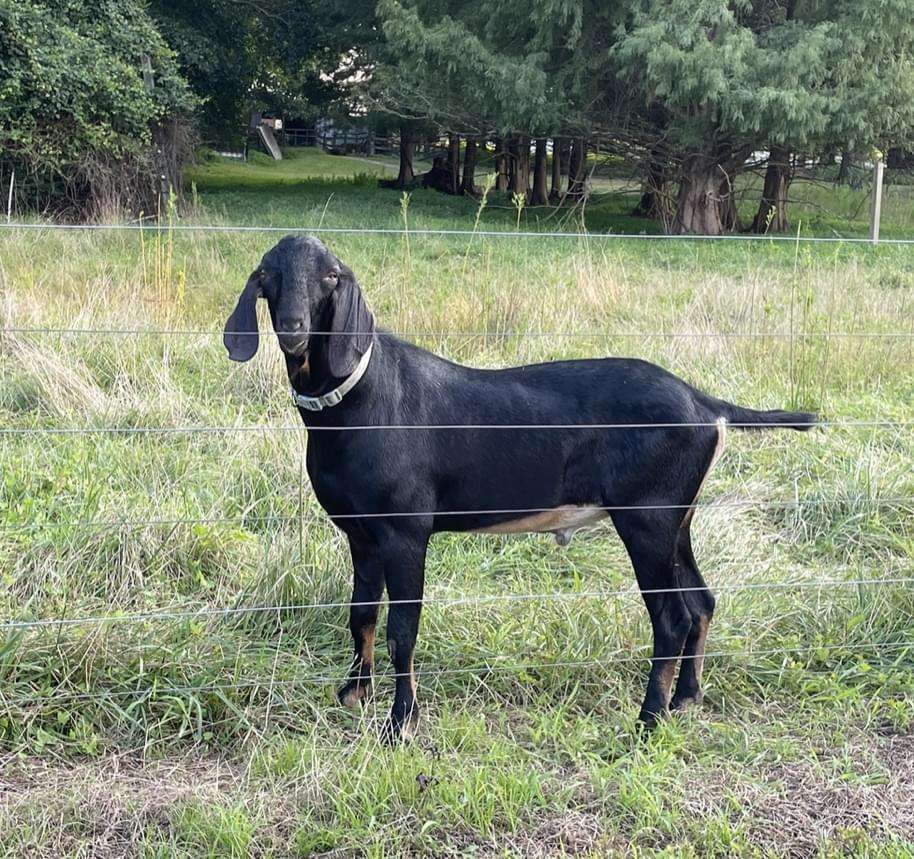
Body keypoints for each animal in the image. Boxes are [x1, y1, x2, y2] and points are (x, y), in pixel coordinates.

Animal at [224, 237, 816, 744]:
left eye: (330, 275)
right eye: (268, 275)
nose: (294, 329)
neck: (362, 398)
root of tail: (703, 404)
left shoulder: (405, 531)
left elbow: (402, 630)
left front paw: (400, 725)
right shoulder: (361, 535)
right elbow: (361, 616)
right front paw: (352, 695)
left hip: (647, 518)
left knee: (672, 619)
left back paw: (648, 721)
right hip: (677, 520)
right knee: (701, 602)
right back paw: (686, 700)